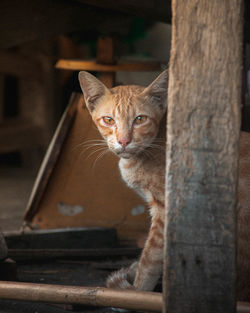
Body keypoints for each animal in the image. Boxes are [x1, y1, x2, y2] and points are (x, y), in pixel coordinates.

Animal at [79, 70, 250, 300]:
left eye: (140, 119)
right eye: (108, 120)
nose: (124, 141)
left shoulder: (164, 212)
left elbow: (150, 257)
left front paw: (138, 293)